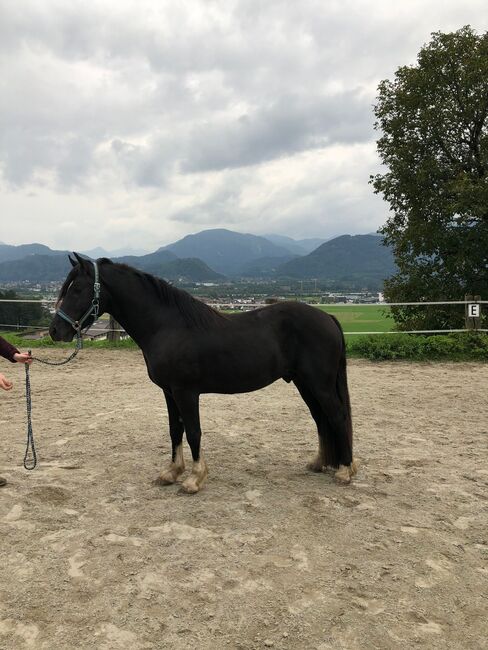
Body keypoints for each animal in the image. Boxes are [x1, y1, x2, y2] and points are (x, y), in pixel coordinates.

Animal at [49, 252, 356, 492]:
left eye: (77, 289)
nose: (55, 331)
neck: (168, 325)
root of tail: (327, 317)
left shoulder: (186, 392)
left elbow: (194, 431)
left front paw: (194, 478)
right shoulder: (169, 392)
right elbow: (175, 430)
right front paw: (171, 472)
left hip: (320, 385)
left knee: (337, 416)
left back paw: (345, 470)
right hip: (305, 384)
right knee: (320, 419)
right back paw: (319, 463)